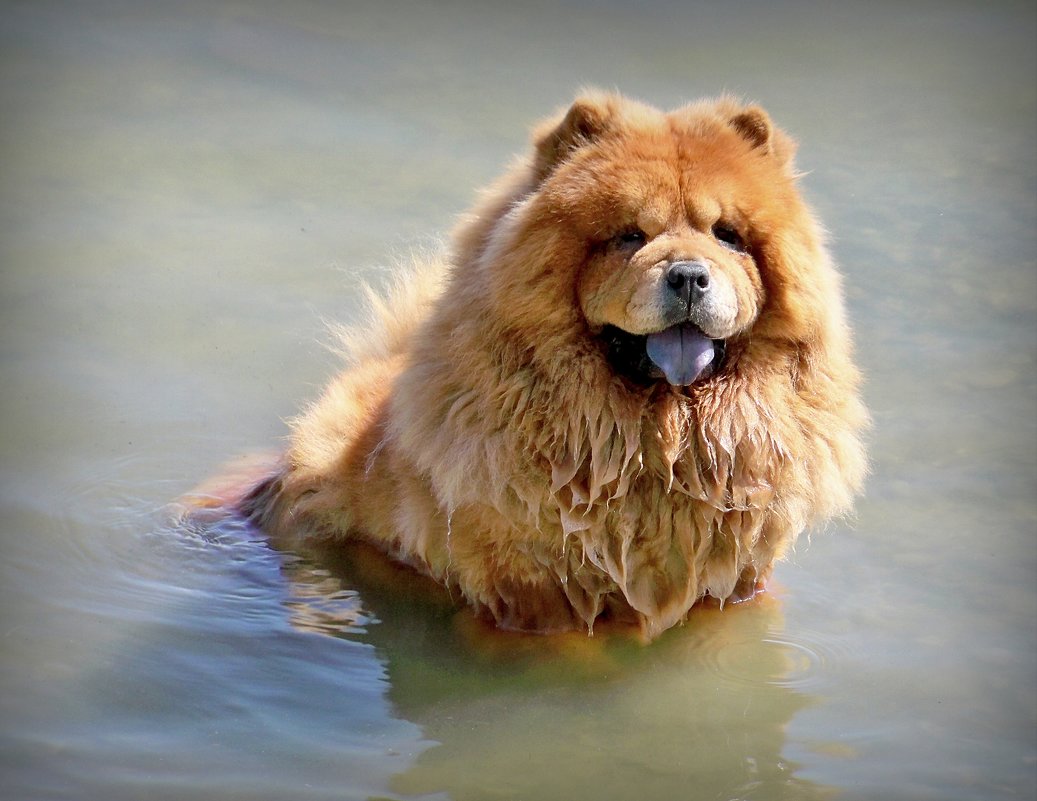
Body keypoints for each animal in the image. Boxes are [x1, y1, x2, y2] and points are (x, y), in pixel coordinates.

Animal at [240, 92, 866, 639]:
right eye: (629, 235)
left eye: (728, 236)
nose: (689, 275)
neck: (658, 452)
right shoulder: (530, 597)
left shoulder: (736, 582)